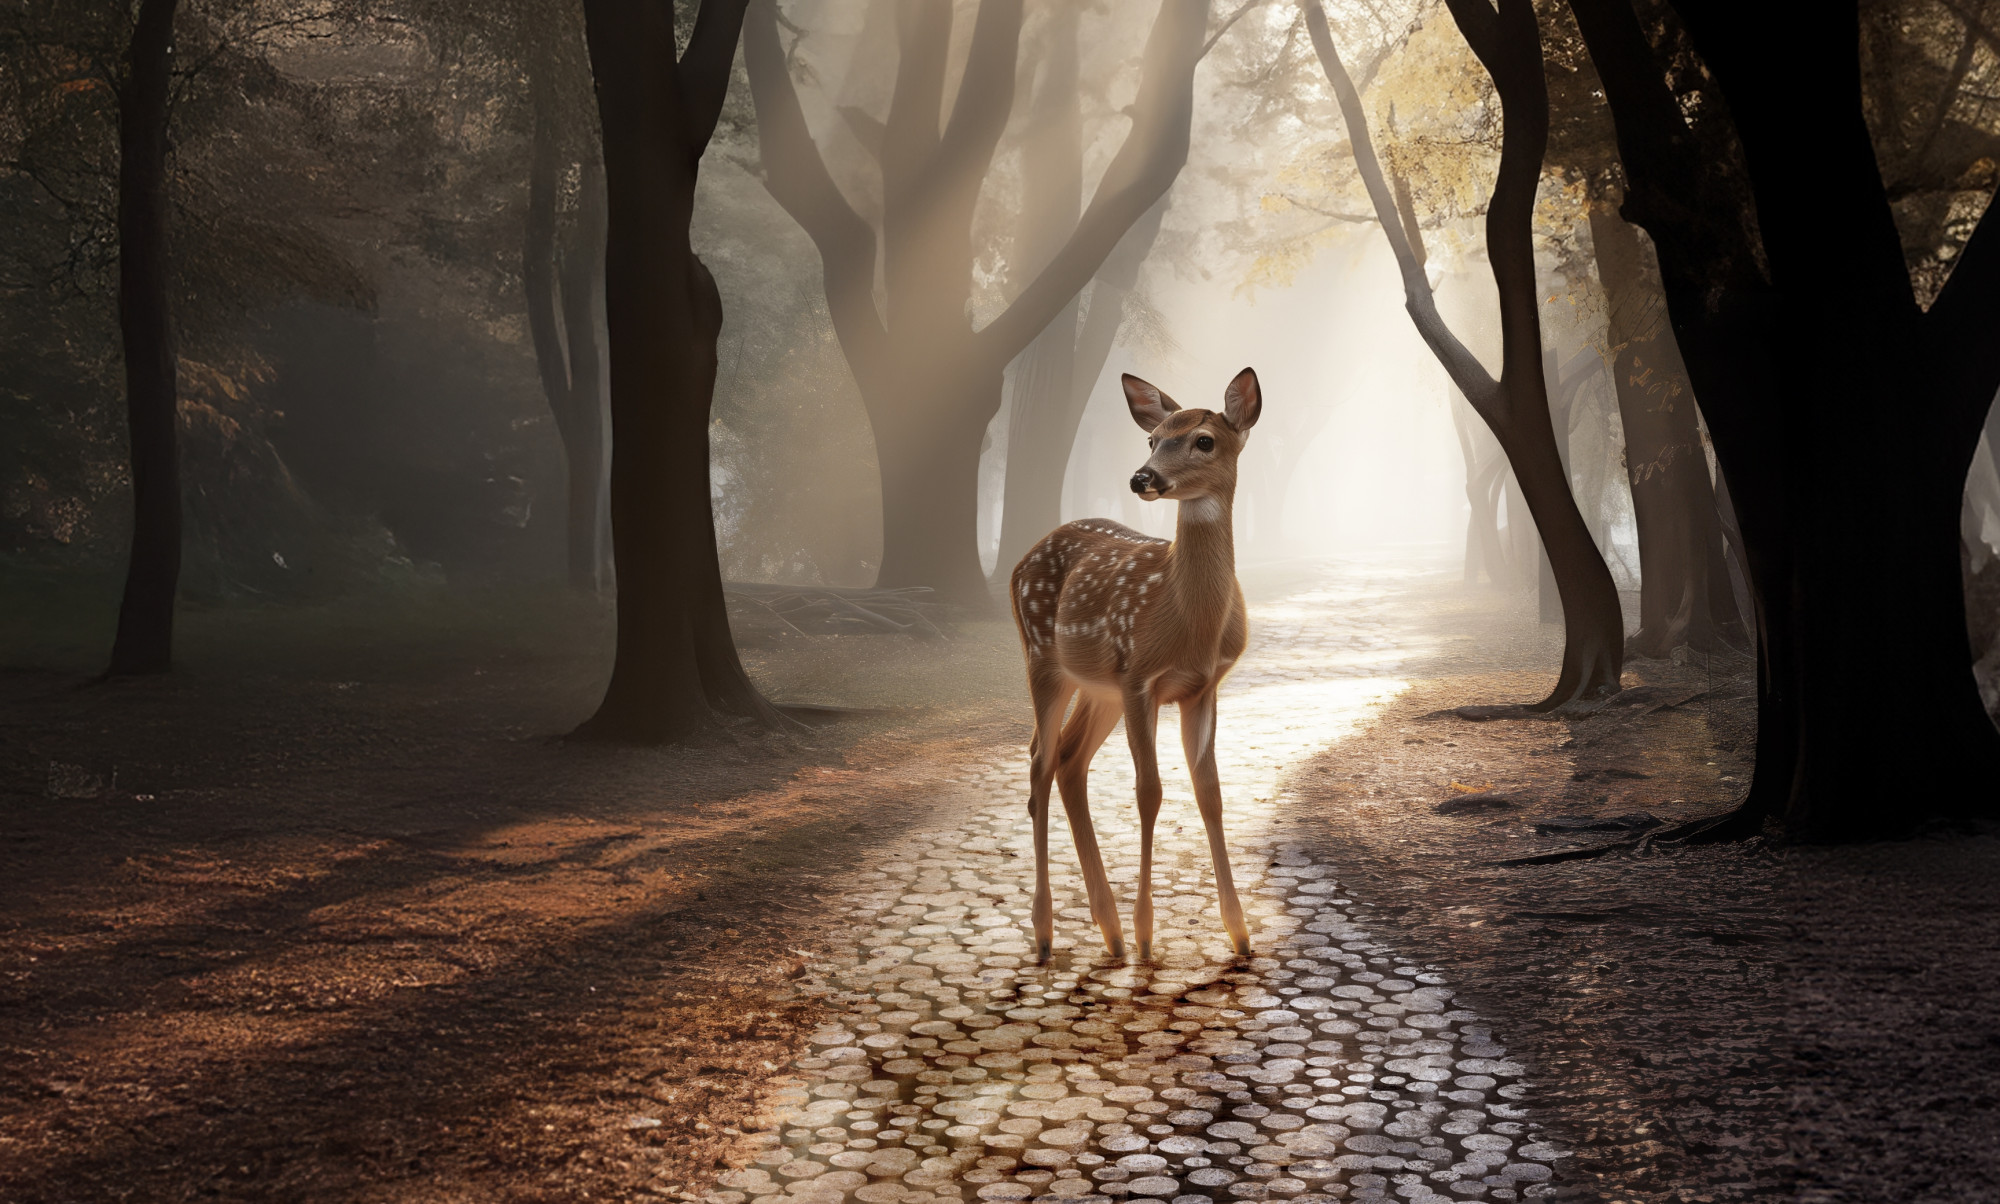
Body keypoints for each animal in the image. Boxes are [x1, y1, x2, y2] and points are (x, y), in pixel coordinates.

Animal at [1009, 366, 1262, 963]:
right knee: (1038, 762)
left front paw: (1240, 934)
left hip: (1097, 688)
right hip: (1043, 657)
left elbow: (1210, 792)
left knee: (1068, 761)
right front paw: (1150, 937)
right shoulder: (1139, 678)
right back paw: (1047, 933)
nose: (1141, 477)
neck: (1187, 623)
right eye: (1152, 439)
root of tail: (1018, 563)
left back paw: (1111, 932)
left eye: (1203, 440)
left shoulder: (1202, 687)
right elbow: (1149, 792)